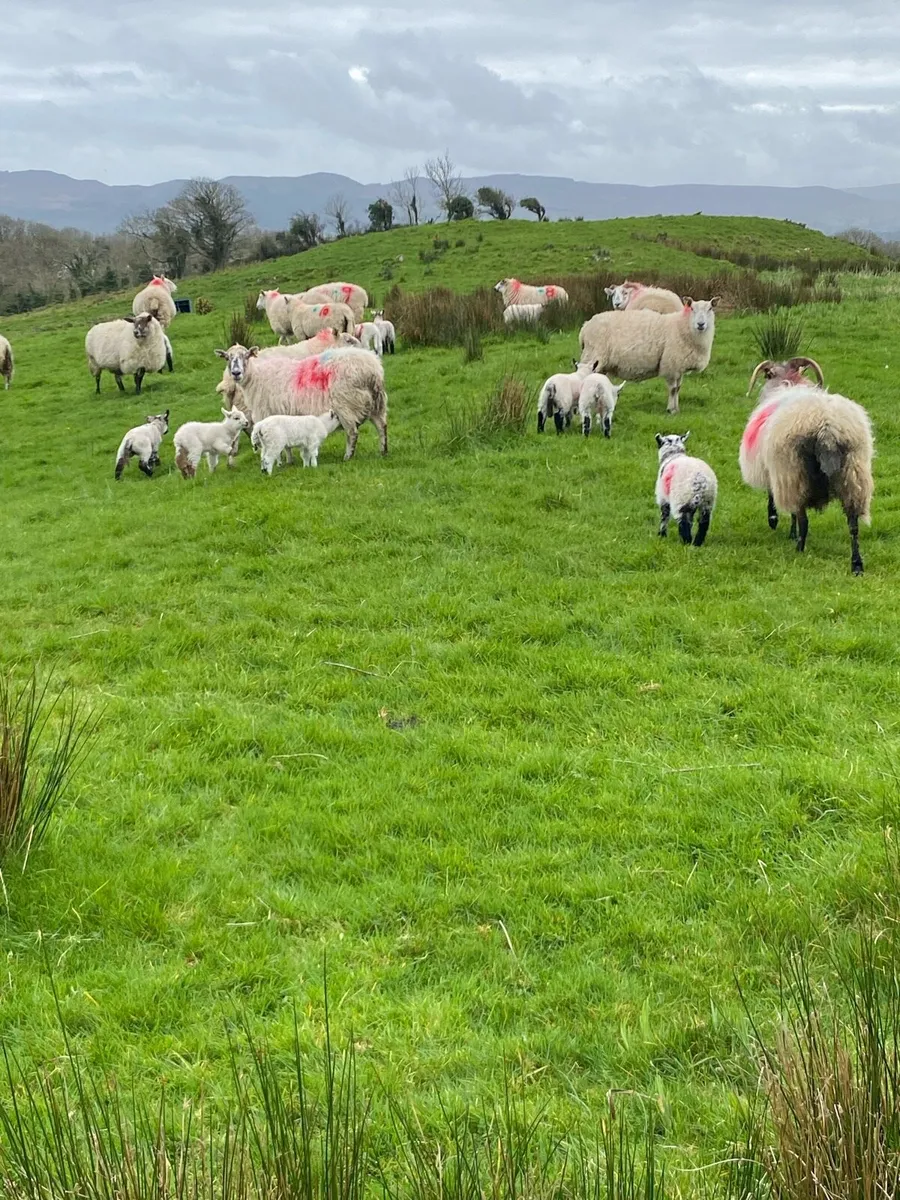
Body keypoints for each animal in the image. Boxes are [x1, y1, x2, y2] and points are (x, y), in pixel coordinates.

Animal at [214, 345, 387, 461]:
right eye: (227, 358)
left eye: (246, 356)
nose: (236, 373)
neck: (256, 378)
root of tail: (372, 368)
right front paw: (289, 460)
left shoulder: (268, 414)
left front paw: (280, 462)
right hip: (375, 403)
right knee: (382, 427)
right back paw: (383, 451)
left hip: (346, 404)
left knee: (352, 433)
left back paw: (347, 456)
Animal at [579, 297, 718, 414]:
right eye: (692, 309)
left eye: (710, 309)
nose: (700, 324)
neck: (681, 326)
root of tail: (585, 326)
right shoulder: (671, 365)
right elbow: (673, 389)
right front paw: (671, 410)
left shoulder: (679, 367)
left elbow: (678, 388)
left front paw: (676, 409)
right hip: (592, 356)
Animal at [743, 358, 874, 574]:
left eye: (767, 374)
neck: (788, 383)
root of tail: (827, 427)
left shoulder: (776, 470)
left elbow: (773, 498)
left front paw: (776, 521)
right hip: (853, 474)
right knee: (853, 524)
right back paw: (856, 564)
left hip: (794, 471)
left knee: (803, 519)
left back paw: (799, 548)